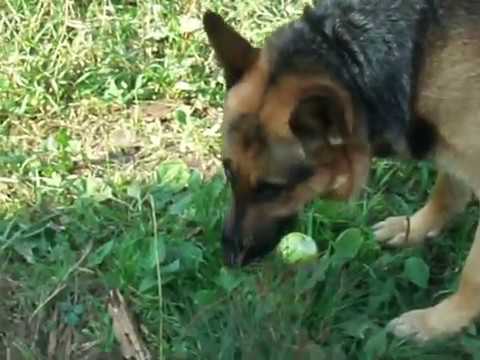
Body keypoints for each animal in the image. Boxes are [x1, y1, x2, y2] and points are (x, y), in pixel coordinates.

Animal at [202, 0, 480, 342]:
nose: (229, 260)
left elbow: (472, 275)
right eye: (228, 173)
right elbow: (446, 191)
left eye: (273, 189)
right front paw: (413, 228)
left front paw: (436, 324)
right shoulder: (453, 149)